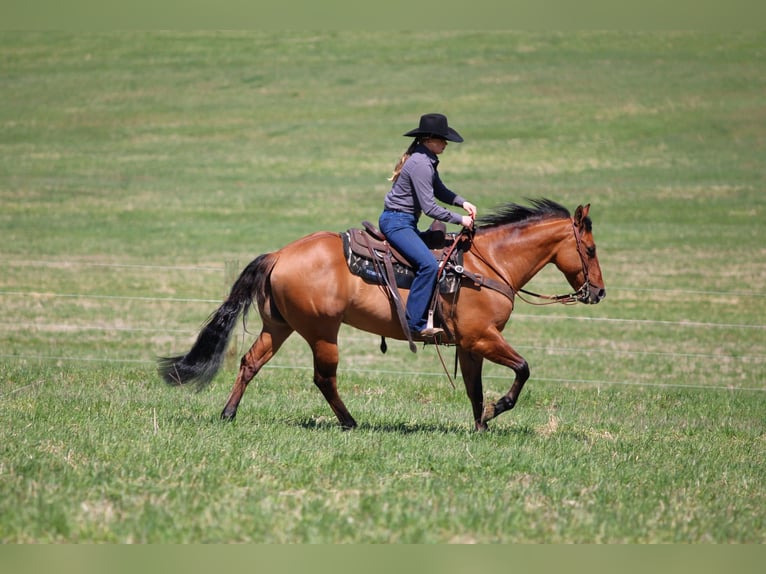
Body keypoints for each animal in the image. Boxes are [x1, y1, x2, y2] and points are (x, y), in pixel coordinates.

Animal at [159, 198, 605, 431]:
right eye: (591, 249)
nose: (599, 292)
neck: (488, 264)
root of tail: (280, 254)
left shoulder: (469, 344)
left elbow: (474, 389)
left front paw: (480, 425)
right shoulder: (482, 337)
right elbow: (523, 369)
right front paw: (497, 411)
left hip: (279, 327)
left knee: (251, 362)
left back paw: (228, 413)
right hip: (322, 332)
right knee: (324, 378)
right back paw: (350, 422)